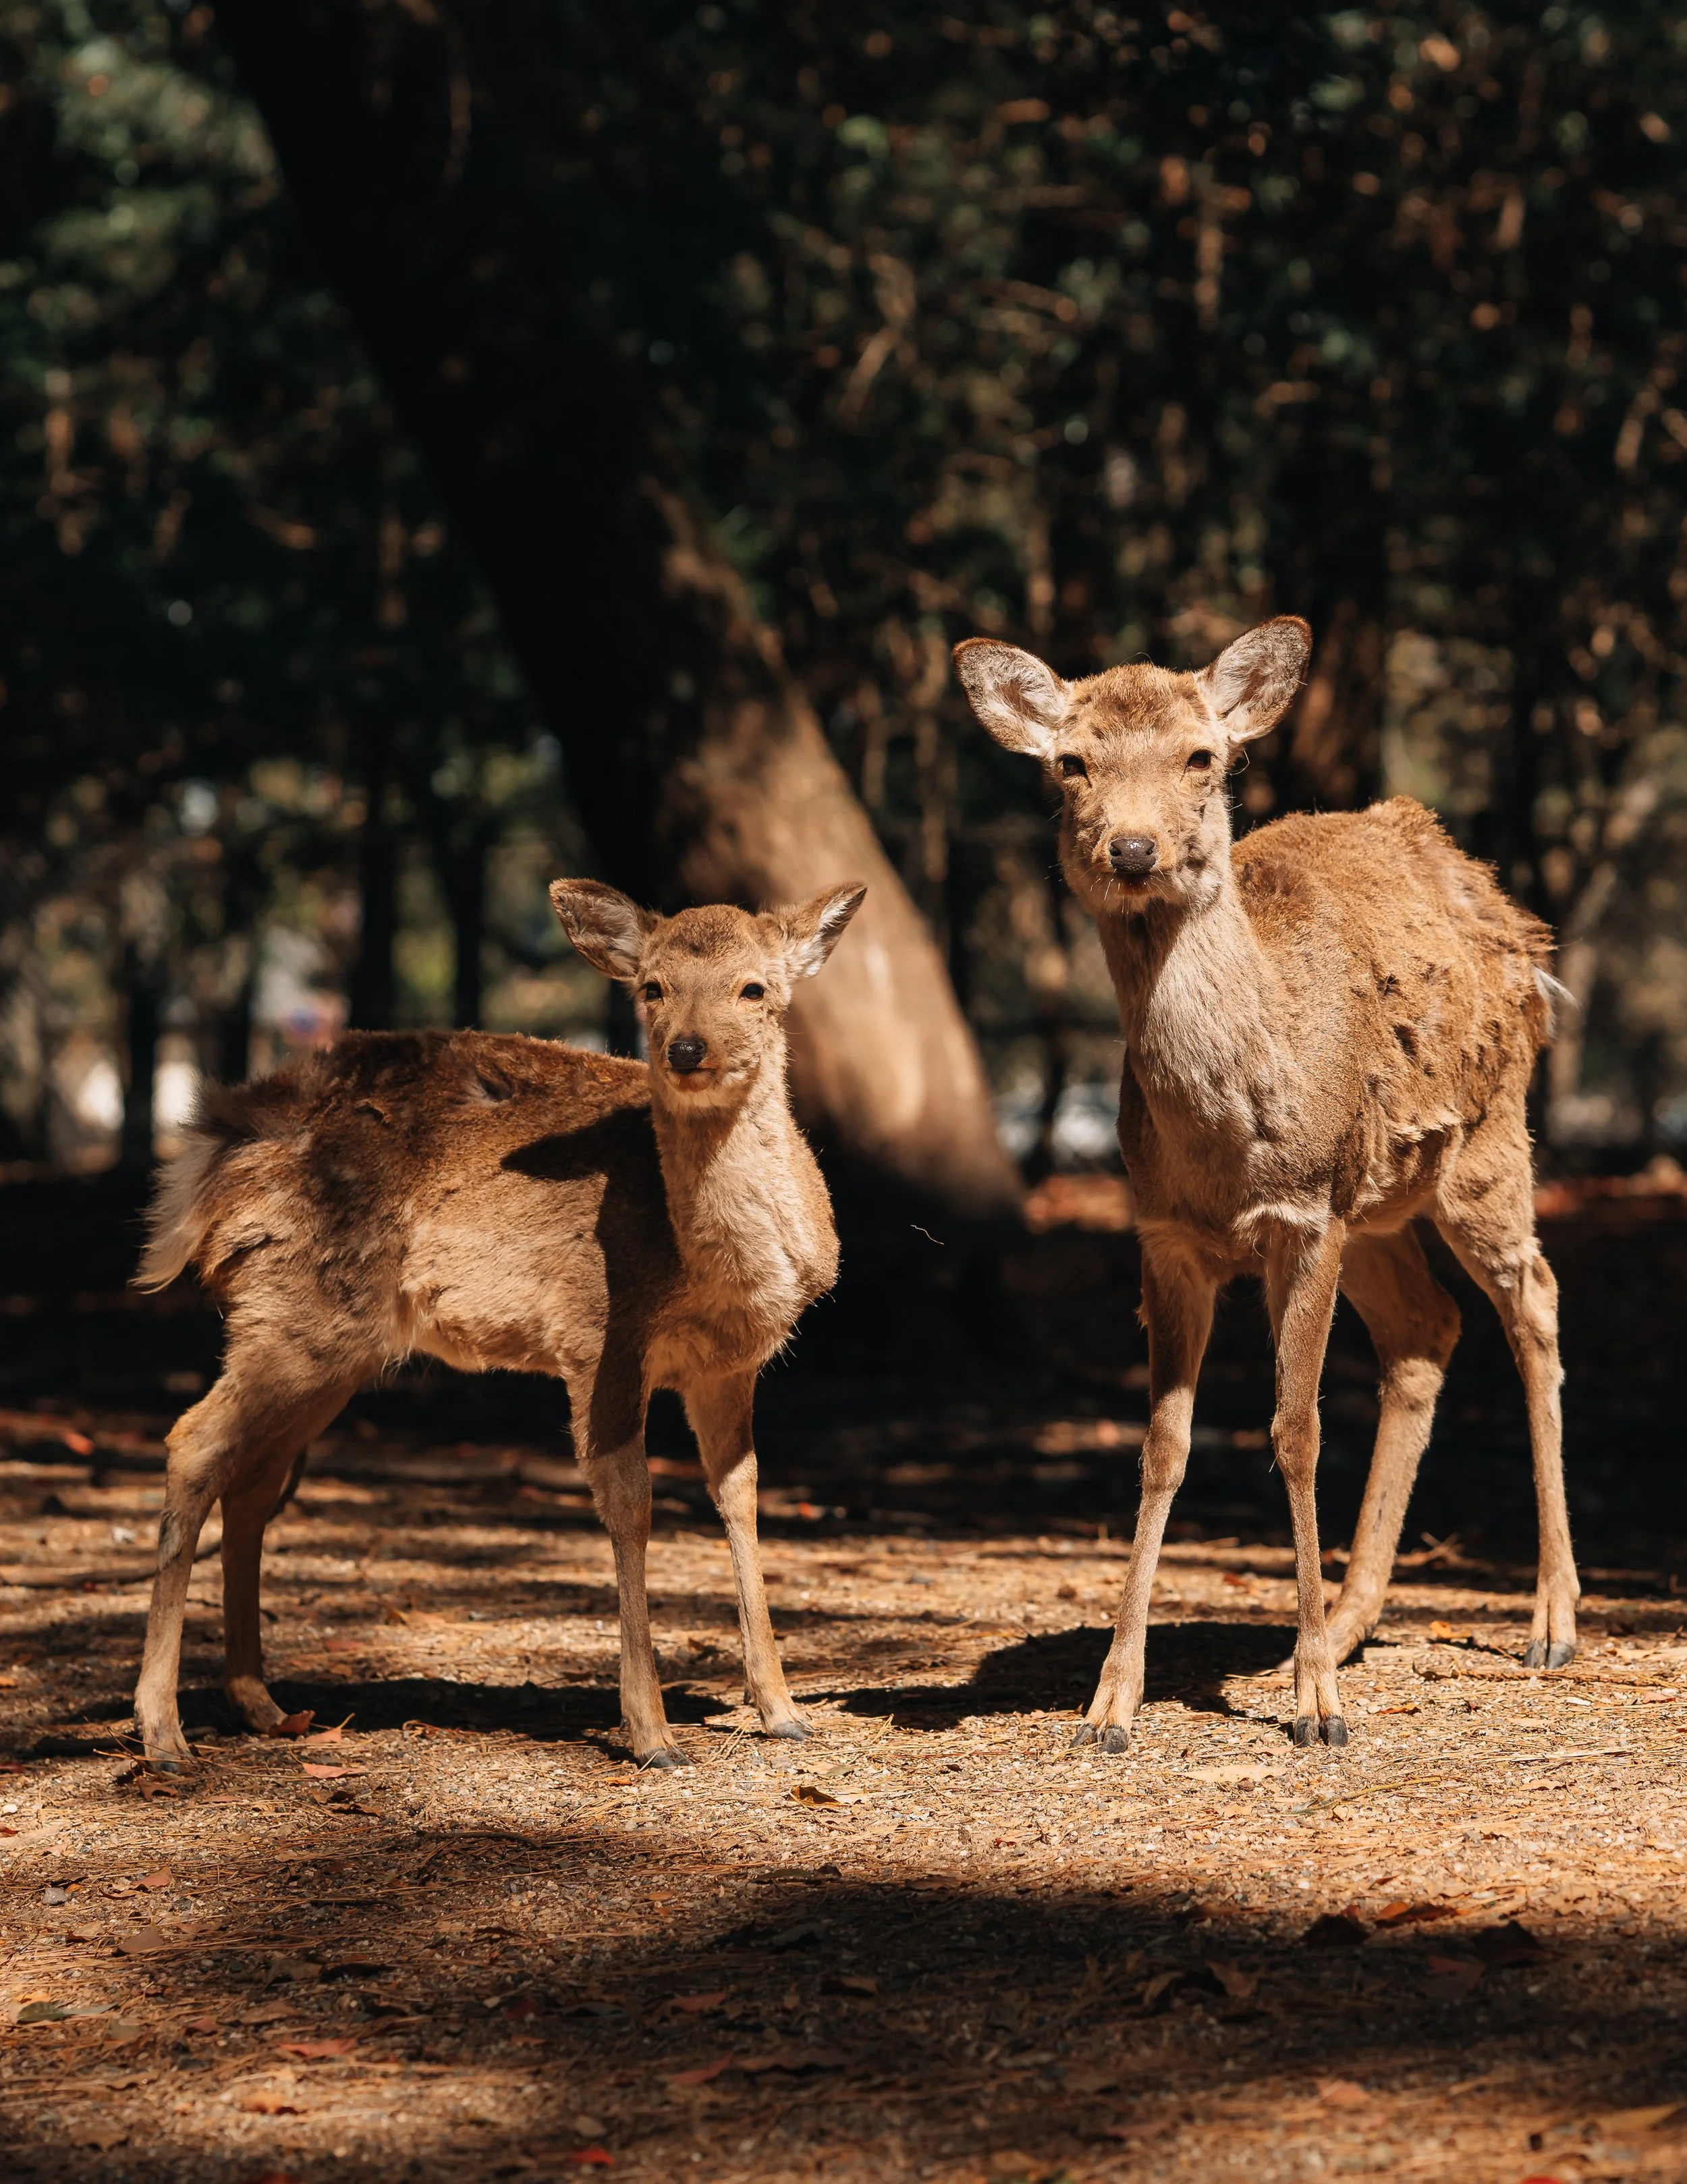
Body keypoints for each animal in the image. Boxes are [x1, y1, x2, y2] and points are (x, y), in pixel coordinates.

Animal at [130, 876, 866, 1772]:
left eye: (754, 987)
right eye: (651, 987)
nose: (686, 1049)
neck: (715, 1274)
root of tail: (209, 1154)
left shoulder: (729, 1364)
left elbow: (742, 1496)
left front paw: (783, 1709)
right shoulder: (598, 1334)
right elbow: (632, 1503)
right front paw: (651, 1734)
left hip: (326, 1339)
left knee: (253, 1477)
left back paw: (262, 1705)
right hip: (298, 1309)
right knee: (193, 1442)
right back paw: (164, 1731)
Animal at [956, 617, 1575, 1750]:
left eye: (1203, 756)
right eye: (1072, 764)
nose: (1134, 850)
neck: (1231, 1142)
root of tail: (1513, 916)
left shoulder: (1304, 1217)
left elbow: (1296, 1429)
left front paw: (1319, 1711)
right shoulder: (1166, 1232)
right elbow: (1163, 1445)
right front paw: (1110, 1703)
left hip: (1486, 1142)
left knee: (1534, 1302)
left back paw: (1550, 1621)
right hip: (1377, 1207)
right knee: (1427, 1330)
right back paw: (1342, 1619)